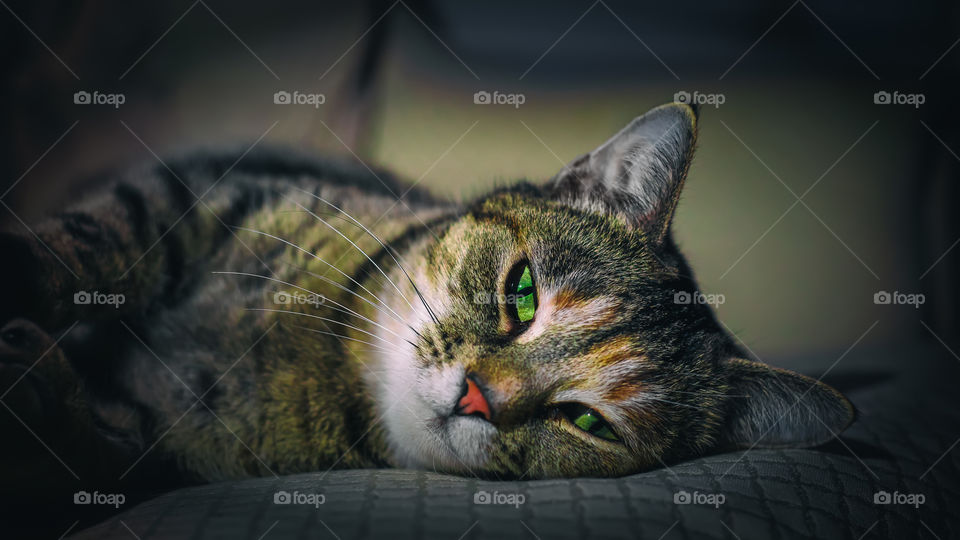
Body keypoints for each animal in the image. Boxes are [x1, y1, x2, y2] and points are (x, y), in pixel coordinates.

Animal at [0, 102, 856, 490]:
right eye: (522, 292)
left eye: (588, 422)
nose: (478, 396)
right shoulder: (201, 193)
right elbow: (91, 242)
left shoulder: (171, 444)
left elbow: (101, 435)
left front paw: (36, 384)